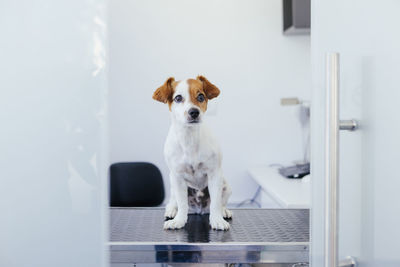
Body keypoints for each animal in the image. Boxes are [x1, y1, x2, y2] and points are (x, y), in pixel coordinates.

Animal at [154, 76, 234, 232]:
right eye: (178, 98)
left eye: (201, 96)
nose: (194, 112)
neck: (189, 138)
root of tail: (199, 210)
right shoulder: (177, 176)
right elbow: (182, 203)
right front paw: (179, 220)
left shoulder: (215, 174)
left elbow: (215, 203)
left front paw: (217, 220)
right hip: (173, 184)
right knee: (174, 201)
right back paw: (171, 210)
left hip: (225, 185)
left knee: (220, 203)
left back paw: (224, 211)